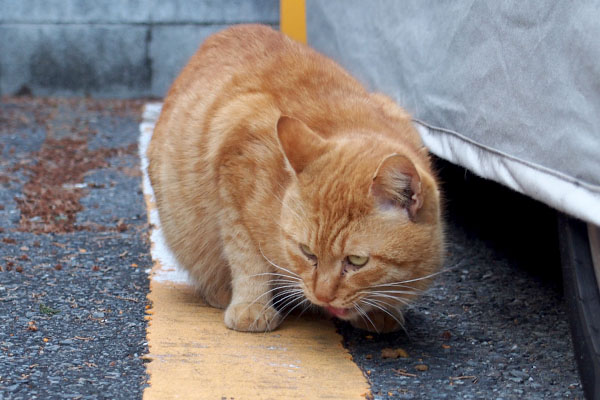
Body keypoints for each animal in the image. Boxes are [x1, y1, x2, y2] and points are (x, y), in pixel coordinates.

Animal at [148, 23, 442, 332]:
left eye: (357, 260)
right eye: (307, 252)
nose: (323, 296)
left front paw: (380, 312)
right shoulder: (236, 159)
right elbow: (247, 255)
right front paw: (251, 308)